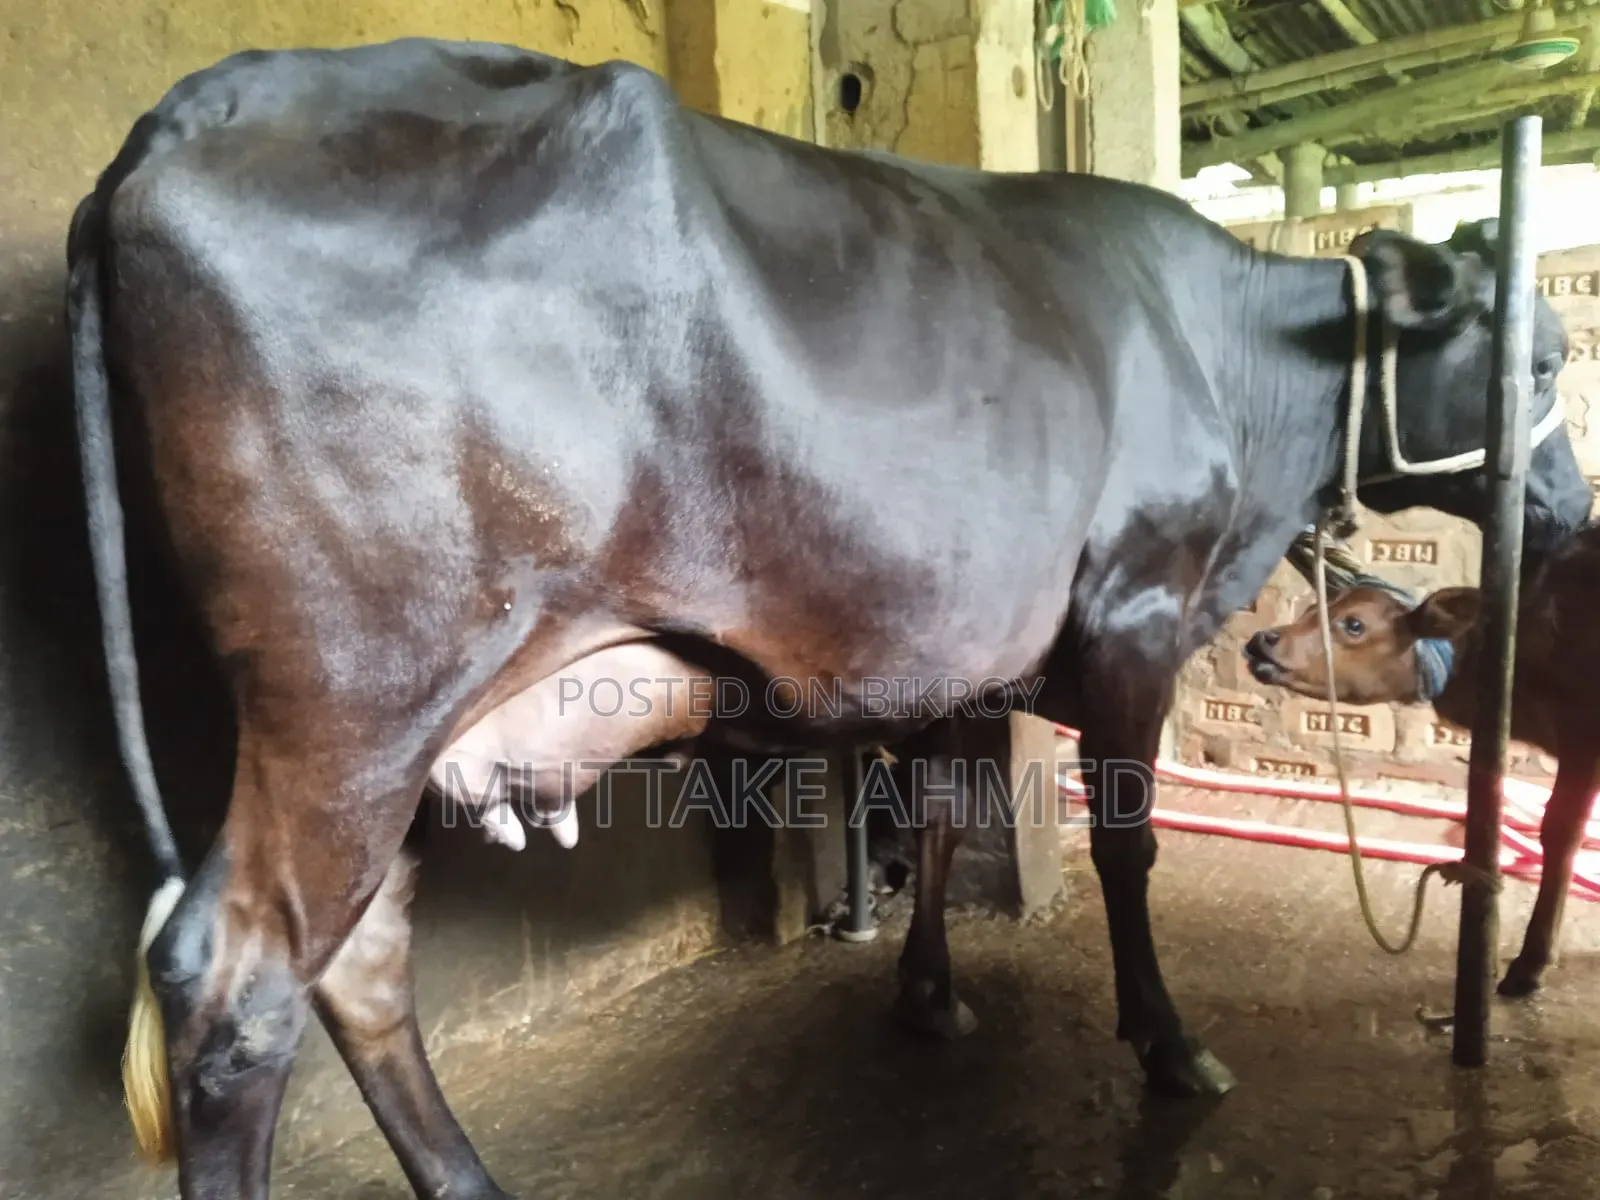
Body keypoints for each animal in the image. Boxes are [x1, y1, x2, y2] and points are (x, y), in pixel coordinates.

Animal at [1245, 524, 1600, 1001]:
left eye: (1354, 624)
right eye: (1310, 608)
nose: (1263, 640)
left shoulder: (1584, 733)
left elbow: (1560, 832)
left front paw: (1529, 966)